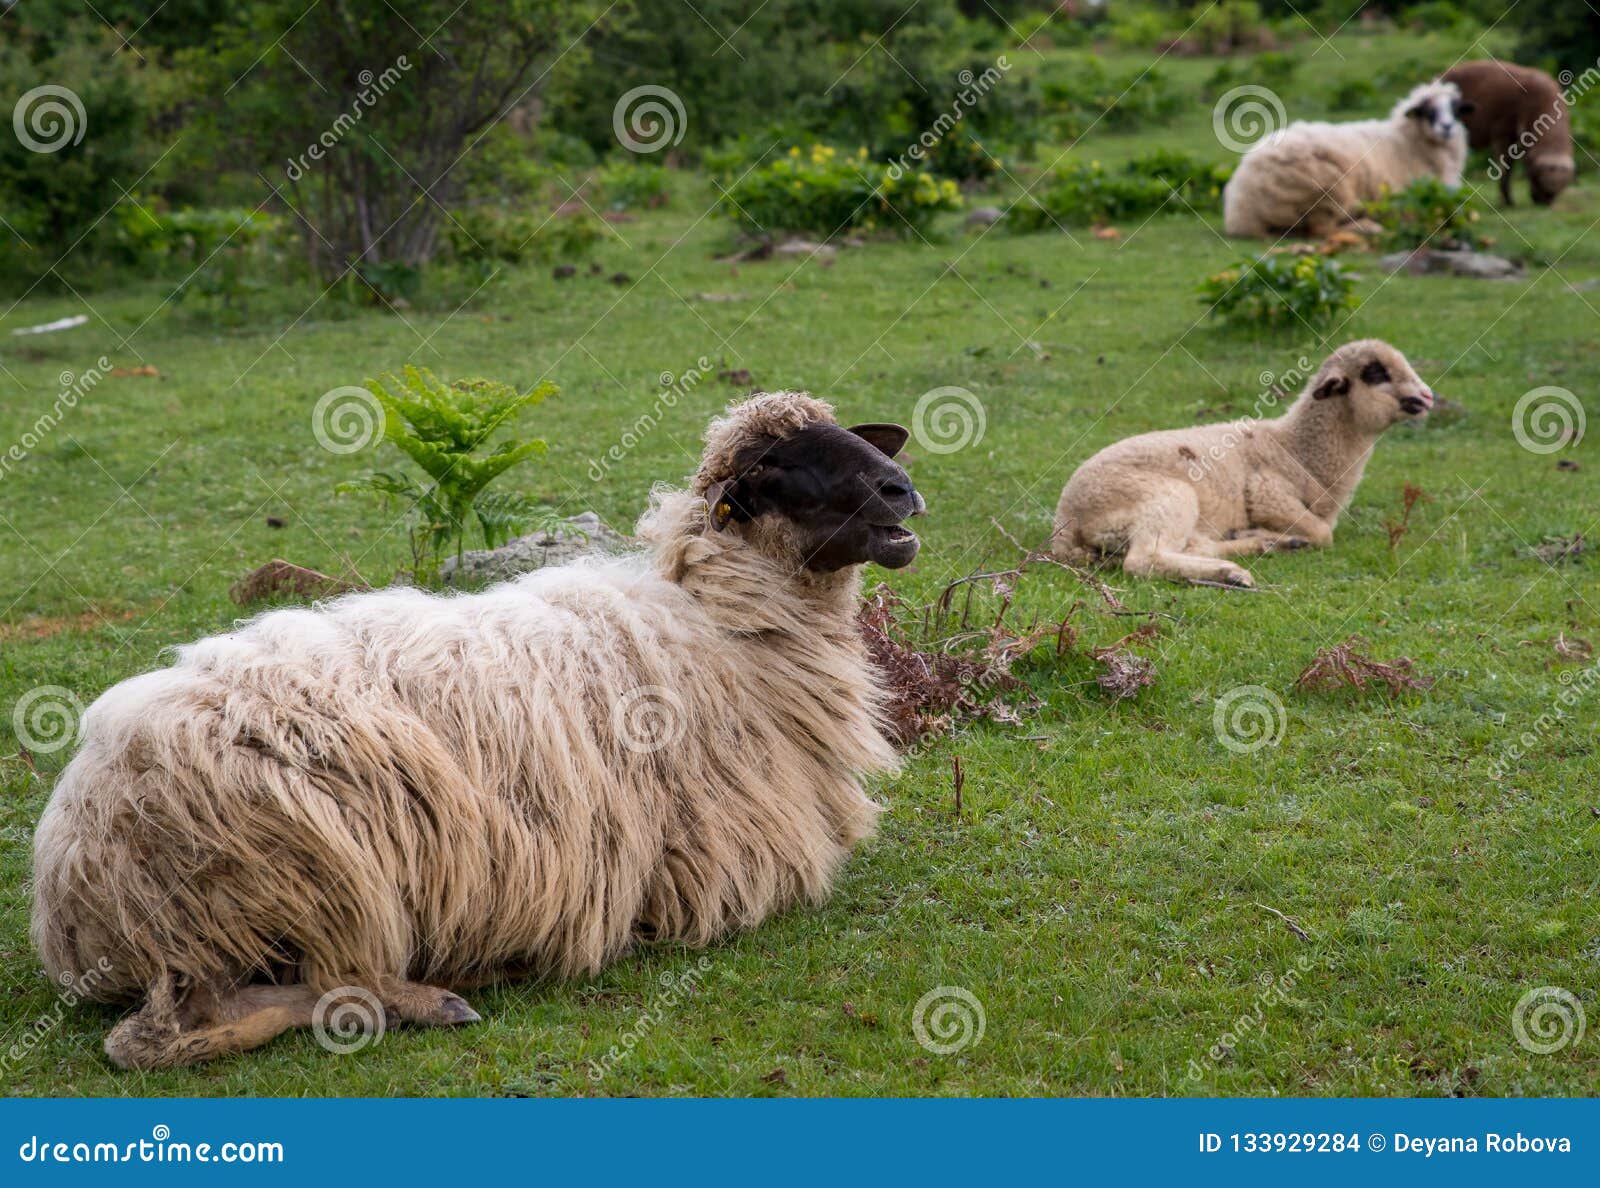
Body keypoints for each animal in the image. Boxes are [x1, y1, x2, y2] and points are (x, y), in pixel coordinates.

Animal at [30, 390, 927, 1069]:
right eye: (771, 468)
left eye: (850, 434)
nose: (901, 491)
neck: (720, 626)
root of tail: (66, 869)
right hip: (304, 874)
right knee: (162, 1034)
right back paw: (430, 997)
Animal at [1051, 340, 1434, 588]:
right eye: (1375, 373)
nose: (1428, 396)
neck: (1297, 448)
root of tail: (1065, 523)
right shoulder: (1267, 492)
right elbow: (1324, 533)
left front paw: (1269, 537)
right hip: (1166, 497)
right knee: (1143, 560)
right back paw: (1232, 571)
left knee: (1194, 546)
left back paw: (1262, 545)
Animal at [1223, 81, 1467, 238]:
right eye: (1429, 111)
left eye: (1455, 110)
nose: (1447, 127)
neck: (1409, 142)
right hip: (1327, 187)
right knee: (1321, 230)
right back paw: (1369, 228)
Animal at [1441, 60, 1574, 208]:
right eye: (1541, 177)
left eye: (1561, 185)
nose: (1546, 201)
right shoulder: (1502, 133)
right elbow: (1506, 168)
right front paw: (1507, 202)